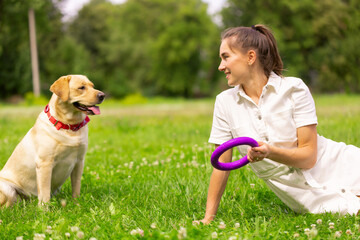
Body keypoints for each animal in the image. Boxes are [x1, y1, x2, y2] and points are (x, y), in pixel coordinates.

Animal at [0, 74, 105, 206]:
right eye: (81, 87)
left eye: (92, 86)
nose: (102, 95)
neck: (69, 126)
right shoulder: (45, 163)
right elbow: (44, 193)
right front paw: (44, 210)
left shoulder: (79, 161)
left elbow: (76, 187)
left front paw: (76, 204)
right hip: (6, 188)